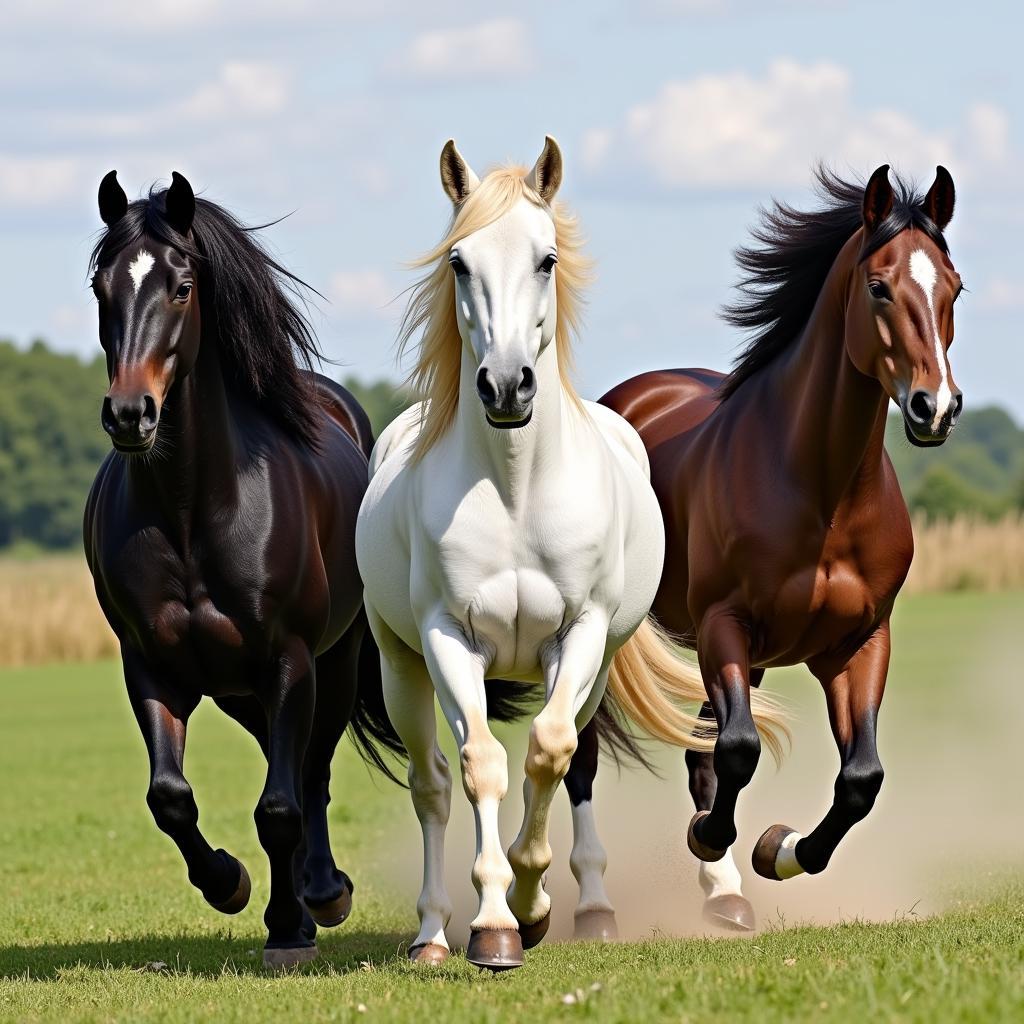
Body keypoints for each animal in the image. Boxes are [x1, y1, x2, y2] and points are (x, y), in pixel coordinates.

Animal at [81, 169, 401, 966]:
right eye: (101, 285)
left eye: (183, 285)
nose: (130, 414)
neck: (194, 509)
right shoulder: (152, 665)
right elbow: (169, 796)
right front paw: (227, 883)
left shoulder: (289, 659)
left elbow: (282, 804)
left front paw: (290, 925)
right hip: (237, 689)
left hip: (332, 664)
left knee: (310, 774)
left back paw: (322, 894)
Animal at [354, 140, 782, 970]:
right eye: (459, 261)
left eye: (546, 258)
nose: (505, 385)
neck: (517, 490)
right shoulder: (447, 639)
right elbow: (482, 765)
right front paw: (494, 927)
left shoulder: (579, 635)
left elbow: (549, 753)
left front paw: (532, 900)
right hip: (400, 665)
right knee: (433, 785)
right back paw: (433, 933)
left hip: (590, 668)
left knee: (562, 756)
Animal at [577, 163, 966, 933]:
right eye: (879, 286)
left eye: (955, 287)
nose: (934, 407)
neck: (821, 493)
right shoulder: (725, 625)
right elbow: (738, 749)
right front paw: (713, 838)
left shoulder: (857, 642)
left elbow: (859, 778)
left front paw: (777, 851)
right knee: (582, 758)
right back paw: (593, 908)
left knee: (699, 756)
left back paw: (724, 896)